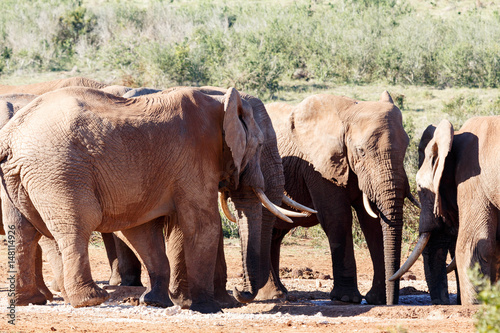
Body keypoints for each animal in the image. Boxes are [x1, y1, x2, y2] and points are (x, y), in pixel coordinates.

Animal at [0, 84, 296, 312]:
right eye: (260, 146)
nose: (240, 291)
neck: (223, 100)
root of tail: (10, 135)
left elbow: (142, 228)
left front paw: (157, 302)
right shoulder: (197, 155)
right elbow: (203, 225)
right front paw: (208, 308)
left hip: (20, 174)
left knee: (25, 230)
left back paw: (30, 301)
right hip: (59, 169)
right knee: (77, 224)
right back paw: (91, 299)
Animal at [256, 91, 416, 304]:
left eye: (406, 148)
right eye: (361, 151)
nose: (392, 302)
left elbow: (372, 223)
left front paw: (377, 299)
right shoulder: (317, 165)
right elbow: (337, 217)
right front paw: (347, 298)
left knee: (275, 233)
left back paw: (280, 293)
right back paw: (273, 295)